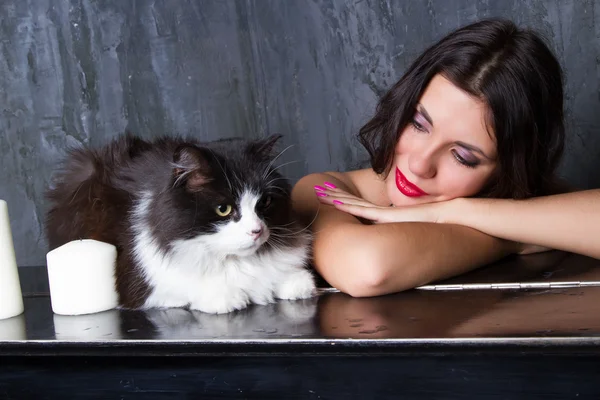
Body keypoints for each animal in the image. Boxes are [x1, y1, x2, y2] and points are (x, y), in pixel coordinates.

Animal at [45, 133, 316, 314]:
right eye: (224, 209)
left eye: (264, 203)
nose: (257, 231)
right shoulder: (142, 286)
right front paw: (229, 298)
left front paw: (296, 284)